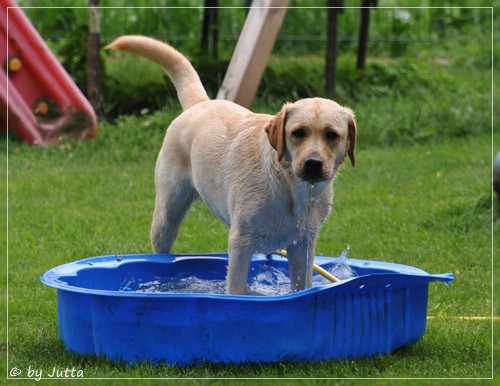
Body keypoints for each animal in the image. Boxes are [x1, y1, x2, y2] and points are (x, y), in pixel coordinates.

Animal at [106, 37, 356, 296]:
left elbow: (301, 285)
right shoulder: (240, 243)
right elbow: (237, 288)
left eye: (332, 135)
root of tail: (200, 103)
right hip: (167, 214)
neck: (292, 188)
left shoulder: (303, 244)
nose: (313, 164)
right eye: (298, 133)